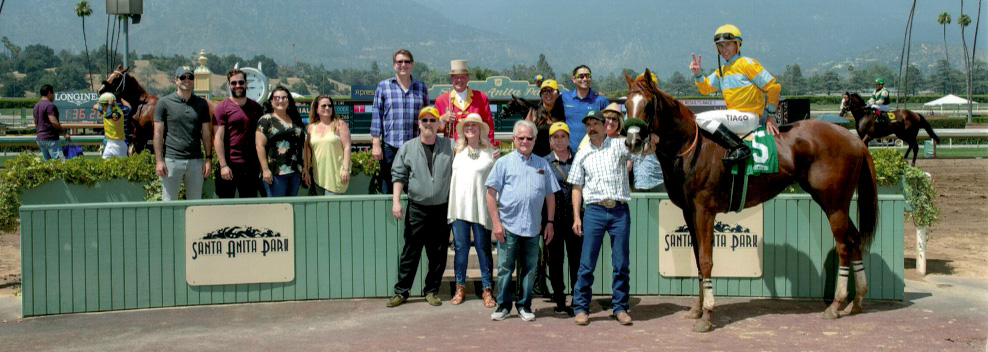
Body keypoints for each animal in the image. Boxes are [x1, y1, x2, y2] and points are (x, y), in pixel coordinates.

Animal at [624, 69, 880, 332]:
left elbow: (706, 260)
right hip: (831, 201)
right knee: (855, 239)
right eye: (627, 105)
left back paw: (836, 304)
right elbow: (697, 258)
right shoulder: (689, 211)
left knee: (844, 245)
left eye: (647, 105)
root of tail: (853, 138)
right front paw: (697, 308)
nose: (632, 142)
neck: (691, 146)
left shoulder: (704, 210)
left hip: (834, 202)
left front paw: (707, 314)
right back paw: (856, 301)